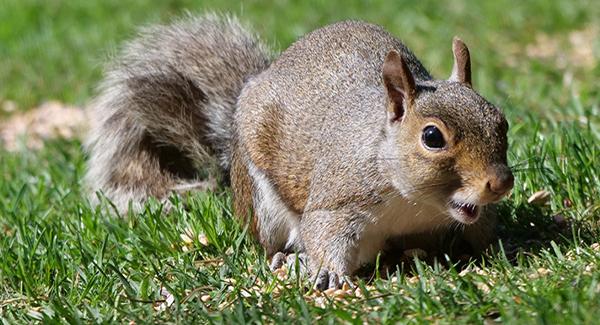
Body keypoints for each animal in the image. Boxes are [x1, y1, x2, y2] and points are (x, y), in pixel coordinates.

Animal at [85, 14, 516, 288]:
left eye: (501, 121)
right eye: (432, 137)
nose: (500, 183)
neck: (417, 202)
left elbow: (482, 227)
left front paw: (502, 247)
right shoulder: (340, 197)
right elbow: (323, 229)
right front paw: (327, 272)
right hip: (262, 204)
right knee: (275, 241)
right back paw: (291, 259)